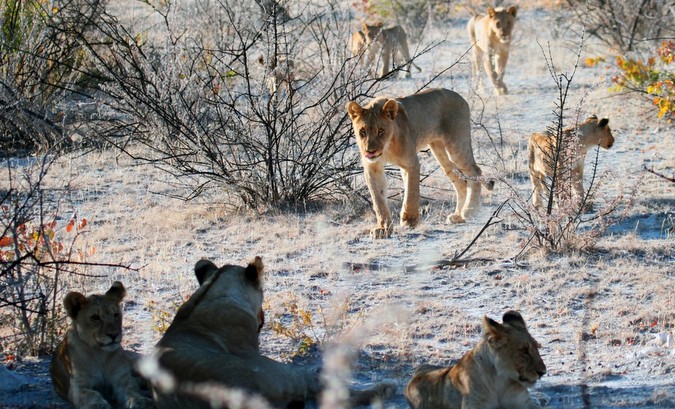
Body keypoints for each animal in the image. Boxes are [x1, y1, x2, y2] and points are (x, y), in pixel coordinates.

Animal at [50, 280, 153, 408]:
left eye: (116, 315)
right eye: (95, 317)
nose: (114, 335)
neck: (100, 354)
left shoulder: (121, 378)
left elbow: (131, 390)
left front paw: (140, 401)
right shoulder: (78, 385)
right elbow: (91, 394)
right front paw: (97, 405)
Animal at [346, 87, 494, 237]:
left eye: (381, 130)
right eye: (362, 131)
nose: (370, 151)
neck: (387, 147)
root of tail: (459, 96)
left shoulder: (411, 163)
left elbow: (411, 193)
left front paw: (409, 220)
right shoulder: (372, 167)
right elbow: (378, 200)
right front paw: (383, 228)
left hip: (456, 146)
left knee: (474, 170)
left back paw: (470, 210)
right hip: (440, 153)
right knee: (460, 182)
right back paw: (458, 216)